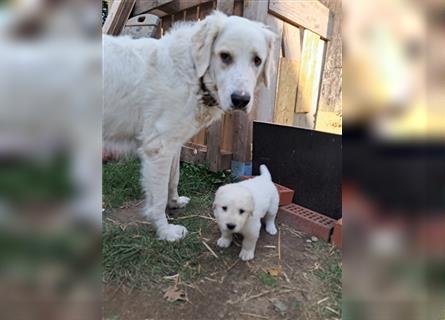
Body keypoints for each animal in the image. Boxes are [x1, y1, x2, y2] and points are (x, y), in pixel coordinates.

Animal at [105, 10, 278, 240]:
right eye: (225, 56)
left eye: (257, 60)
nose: (241, 100)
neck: (194, 73)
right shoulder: (158, 148)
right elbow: (158, 197)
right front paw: (165, 231)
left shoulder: (174, 145)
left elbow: (173, 179)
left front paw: (174, 202)